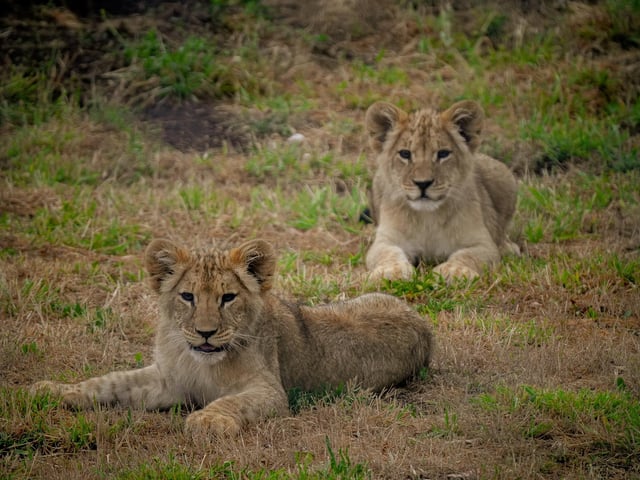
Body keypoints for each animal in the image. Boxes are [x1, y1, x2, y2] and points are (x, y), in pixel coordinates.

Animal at [32, 238, 433, 436]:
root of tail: (423, 322)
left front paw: (207, 421)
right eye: (188, 297)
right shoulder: (167, 381)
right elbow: (110, 382)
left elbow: (233, 402)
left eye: (228, 298)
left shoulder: (270, 391)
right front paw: (53, 390)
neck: (202, 363)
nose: (206, 333)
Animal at [363, 99, 519, 282]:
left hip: (504, 176)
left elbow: (468, 255)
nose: (423, 183)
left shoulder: (483, 244)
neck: (427, 218)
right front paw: (390, 272)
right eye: (405, 154)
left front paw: (454, 270)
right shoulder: (385, 241)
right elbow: (388, 254)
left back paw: (509, 248)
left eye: (443, 153)